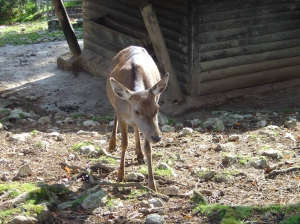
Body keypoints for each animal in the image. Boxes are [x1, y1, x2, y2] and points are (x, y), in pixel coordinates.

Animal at [106, 46, 170, 192]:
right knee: (115, 114)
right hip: (114, 104)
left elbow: (148, 148)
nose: (157, 137)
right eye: (137, 111)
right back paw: (112, 144)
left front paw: (152, 184)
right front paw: (120, 176)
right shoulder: (123, 116)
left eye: (157, 108)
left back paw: (139, 154)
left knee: (136, 127)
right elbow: (124, 143)